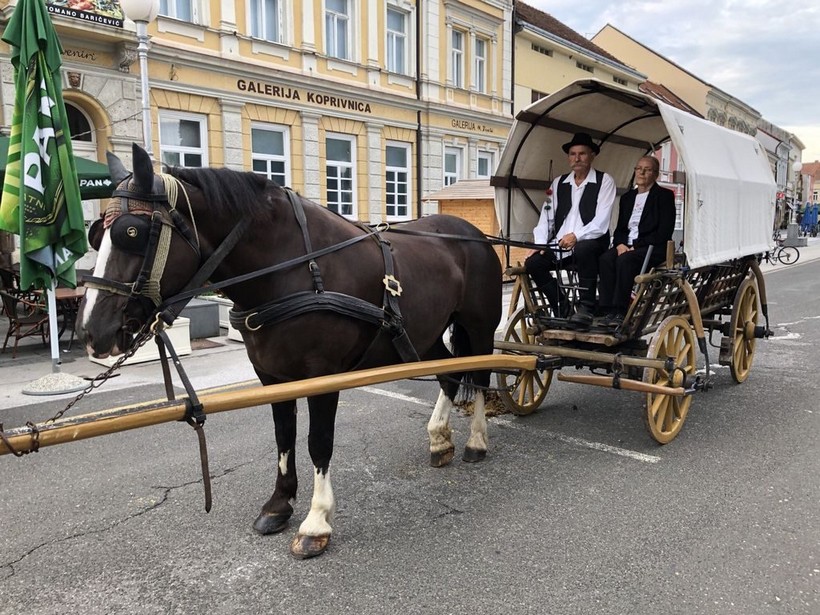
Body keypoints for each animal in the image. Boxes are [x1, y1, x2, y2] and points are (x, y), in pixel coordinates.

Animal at [77, 143, 502, 558]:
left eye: (132, 232)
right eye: (96, 236)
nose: (93, 330)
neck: (292, 267)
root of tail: (473, 235)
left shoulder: (322, 376)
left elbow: (318, 443)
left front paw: (316, 522)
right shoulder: (272, 375)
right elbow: (283, 436)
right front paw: (279, 505)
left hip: (479, 327)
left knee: (480, 376)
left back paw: (476, 441)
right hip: (424, 332)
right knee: (450, 374)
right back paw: (439, 439)